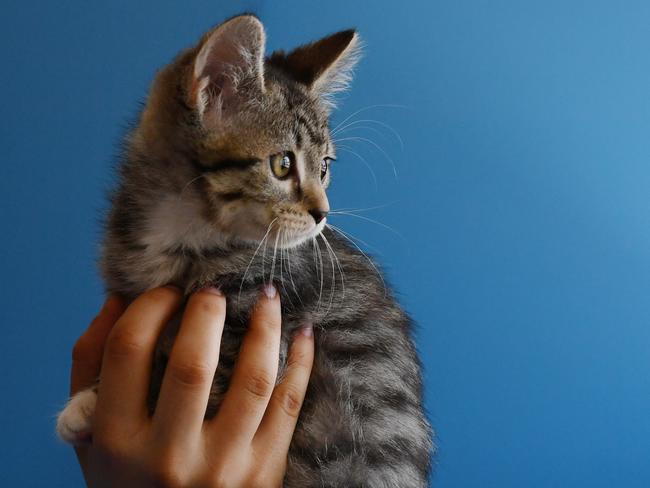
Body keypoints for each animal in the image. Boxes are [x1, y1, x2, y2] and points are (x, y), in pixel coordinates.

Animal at [55, 13, 430, 486]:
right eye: (282, 165)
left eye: (324, 168)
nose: (323, 214)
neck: (183, 231)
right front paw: (92, 400)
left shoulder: (262, 322)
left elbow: (200, 379)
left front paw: (91, 407)